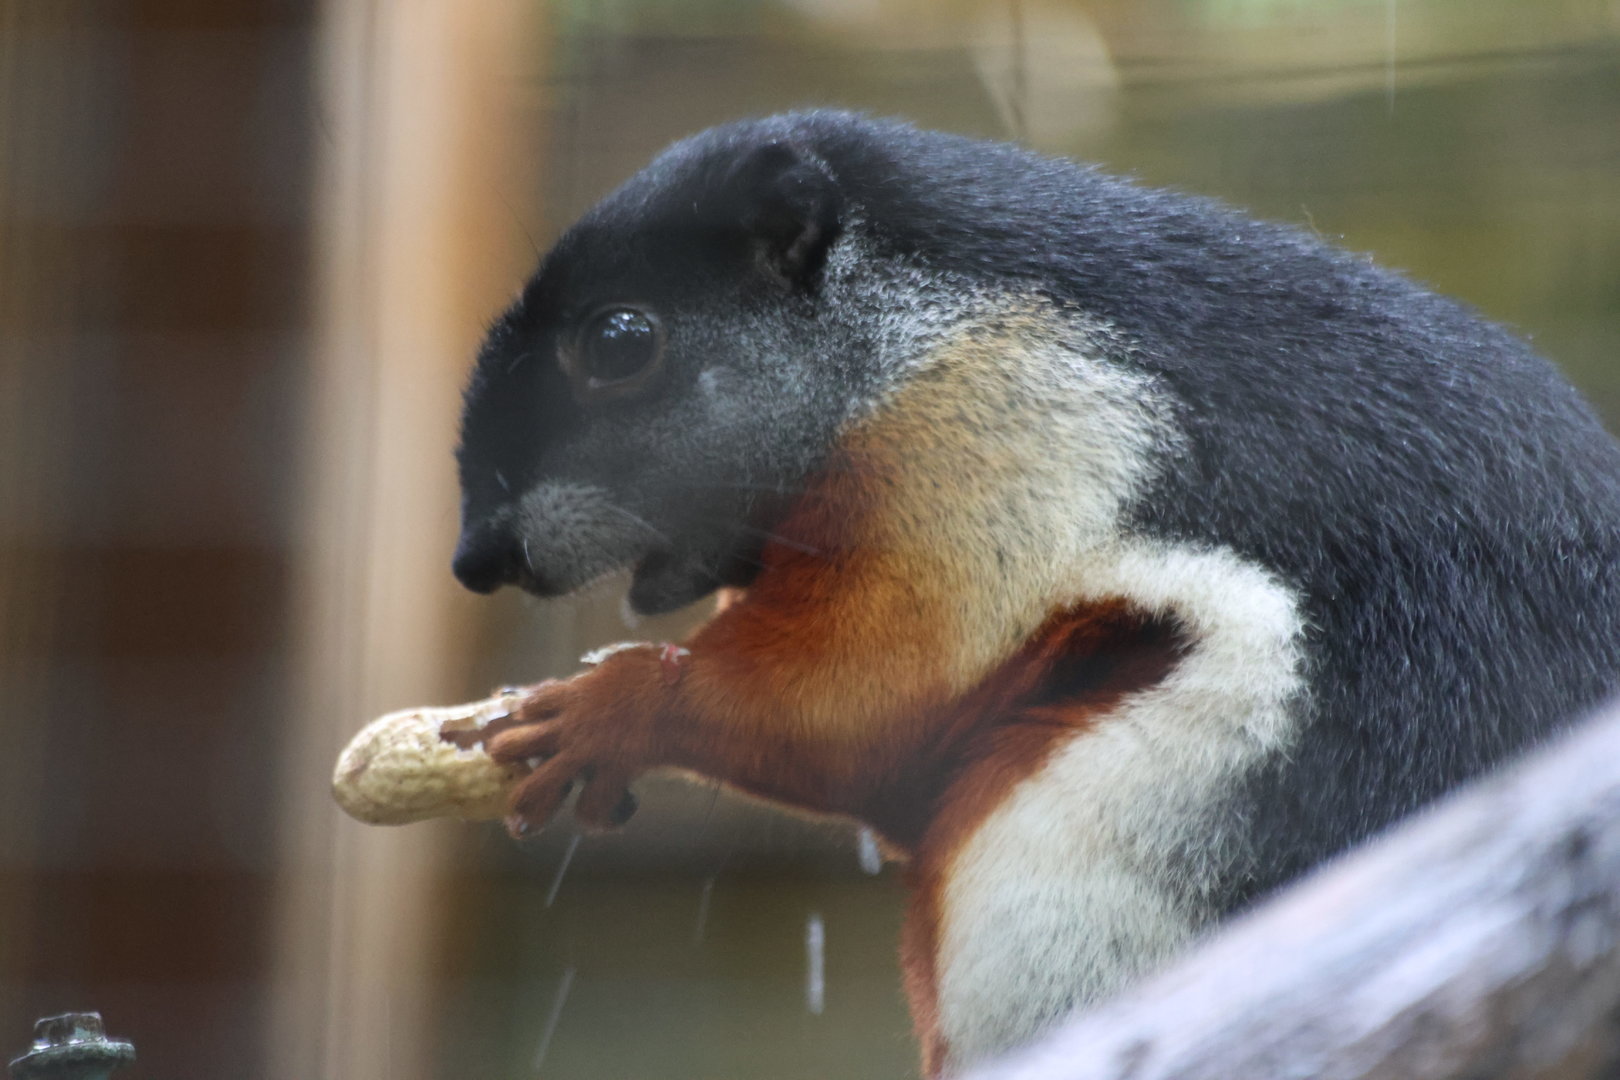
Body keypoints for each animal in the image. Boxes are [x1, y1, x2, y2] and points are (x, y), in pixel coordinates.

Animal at [451, 111, 1620, 1075]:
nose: (474, 559)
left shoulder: (996, 442)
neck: (902, 327)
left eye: (621, 342)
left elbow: (864, 706)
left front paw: (610, 710)